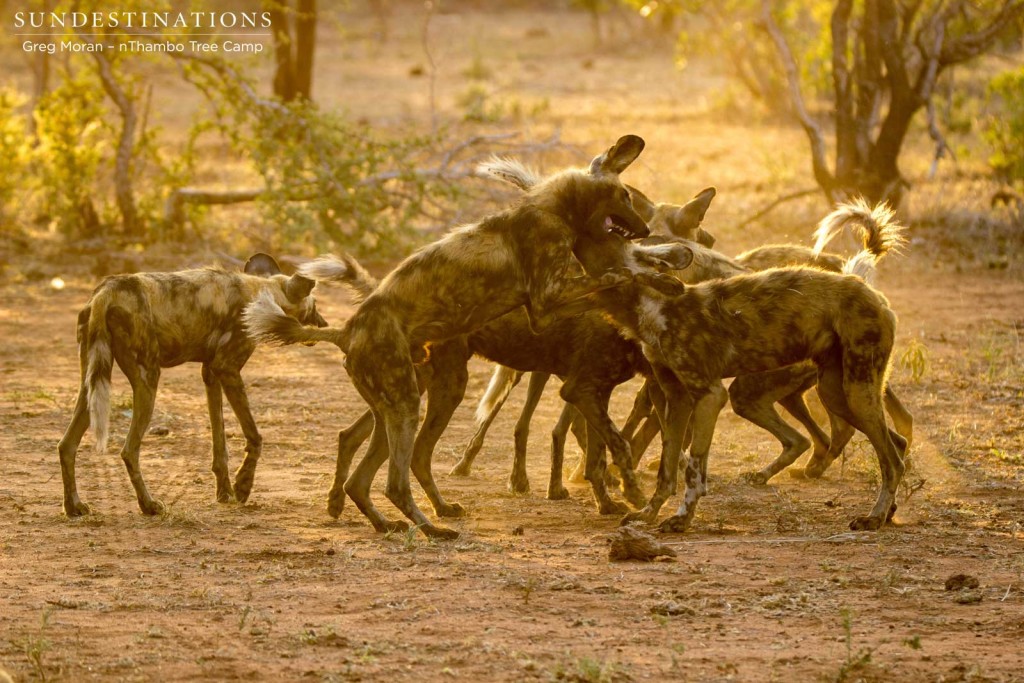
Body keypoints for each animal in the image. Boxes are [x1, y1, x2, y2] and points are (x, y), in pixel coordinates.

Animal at [57, 253, 327, 516]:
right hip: (148, 379)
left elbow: (220, 446)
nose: (324, 325)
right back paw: (149, 505)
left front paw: (224, 492)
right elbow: (255, 437)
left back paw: (74, 507)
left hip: (91, 383)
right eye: (313, 307)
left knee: (66, 445)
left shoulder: (211, 374)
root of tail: (108, 290)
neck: (261, 292)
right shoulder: (227, 369)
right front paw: (243, 486)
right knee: (129, 450)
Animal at [248, 135, 663, 540]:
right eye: (625, 196)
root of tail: (346, 330)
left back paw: (393, 523)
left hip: (405, 401)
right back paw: (432, 528)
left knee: (364, 476)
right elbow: (608, 278)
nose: (644, 231)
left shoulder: (543, 313)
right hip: (408, 403)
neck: (555, 208)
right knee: (395, 481)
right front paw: (646, 275)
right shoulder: (547, 301)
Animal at [569, 223, 913, 532]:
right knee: (895, 444)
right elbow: (666, 469)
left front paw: (681, 520)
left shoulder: (709, 396)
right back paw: (888, 511)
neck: (654, 308)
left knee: (891, 460)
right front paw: (648, 514)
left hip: (855, 391)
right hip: (837, 393)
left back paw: (873, 518)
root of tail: (871, 290)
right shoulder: (676, 399)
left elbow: (693, 468)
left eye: (605, 243)